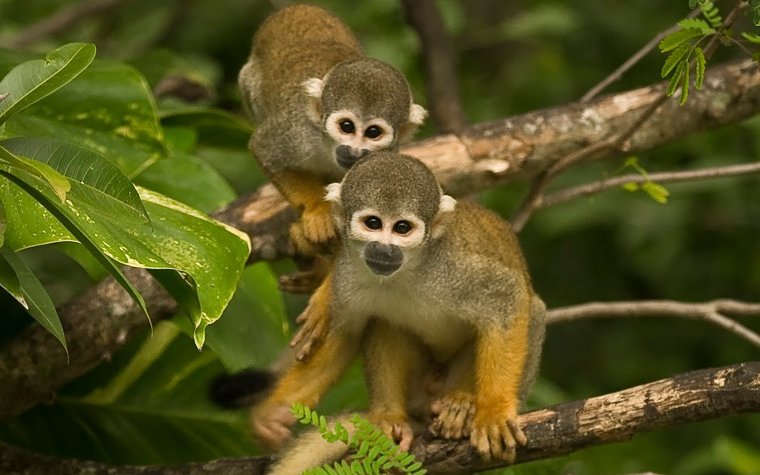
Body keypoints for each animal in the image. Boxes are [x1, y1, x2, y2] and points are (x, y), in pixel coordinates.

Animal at [239, 4, 427, 258]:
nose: (355, 151)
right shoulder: (295, 132)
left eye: (373, 132)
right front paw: (317, 209)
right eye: (346, 127)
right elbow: (263, 149)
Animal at [249, 152, 546, 465]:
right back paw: (390, 416)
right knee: (383, 321)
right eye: (373, 223)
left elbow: (508, 300)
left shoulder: (454, 266)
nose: (384, 249)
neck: (406, 271)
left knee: (533, 309)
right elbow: (344, 334)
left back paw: (461, 403)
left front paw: (493, 412)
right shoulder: (346, 274)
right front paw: (274, 412)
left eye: (402, 228)